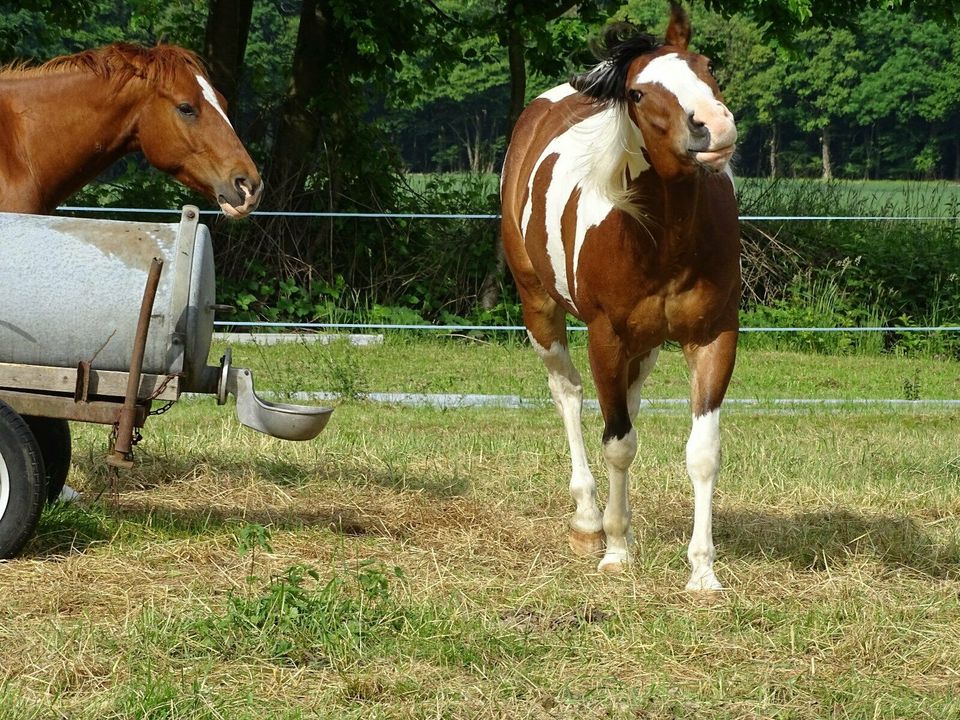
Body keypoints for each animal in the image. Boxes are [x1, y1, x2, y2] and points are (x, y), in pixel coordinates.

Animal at [502, 1, 744, 592]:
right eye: (637, 93)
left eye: (704, 65)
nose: (712, 126)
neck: (662, 238)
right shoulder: (605, 338)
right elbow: (617, 442)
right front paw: (614, 549)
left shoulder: (713, 336)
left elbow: (702, 453)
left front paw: (702, 572)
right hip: (539, 308)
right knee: (569, 395)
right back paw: (590, 521)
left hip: (647, 344)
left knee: (627, 405)